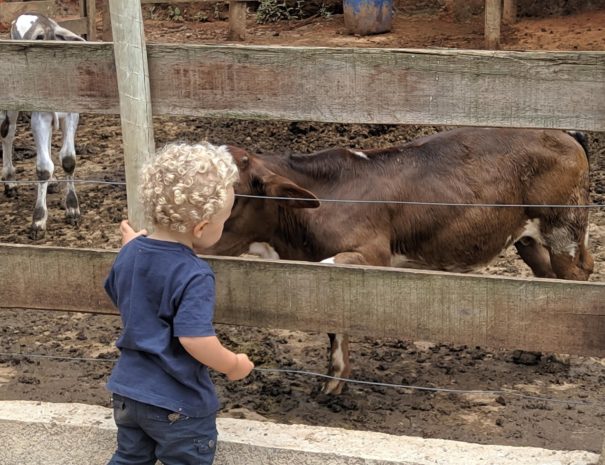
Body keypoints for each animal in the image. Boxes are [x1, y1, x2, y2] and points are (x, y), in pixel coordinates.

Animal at [0, 13, 84, 239]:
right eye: (36, 38)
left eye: (42, 37)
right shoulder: (40, 117)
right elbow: (43, 168)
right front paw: (38, 220)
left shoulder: (71, 114)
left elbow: (68, 160)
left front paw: (72, 208)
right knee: (7, 135)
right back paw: (10, 181)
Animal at [204, 128, 596, 396]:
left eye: (232, 197)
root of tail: (564, 134)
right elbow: (332, 316)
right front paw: (334, 382)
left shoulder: (372, 254)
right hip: (527, 237)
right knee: (544, 277)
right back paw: (534, 350)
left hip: (564, 227)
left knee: (576, 277)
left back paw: (570, 357)